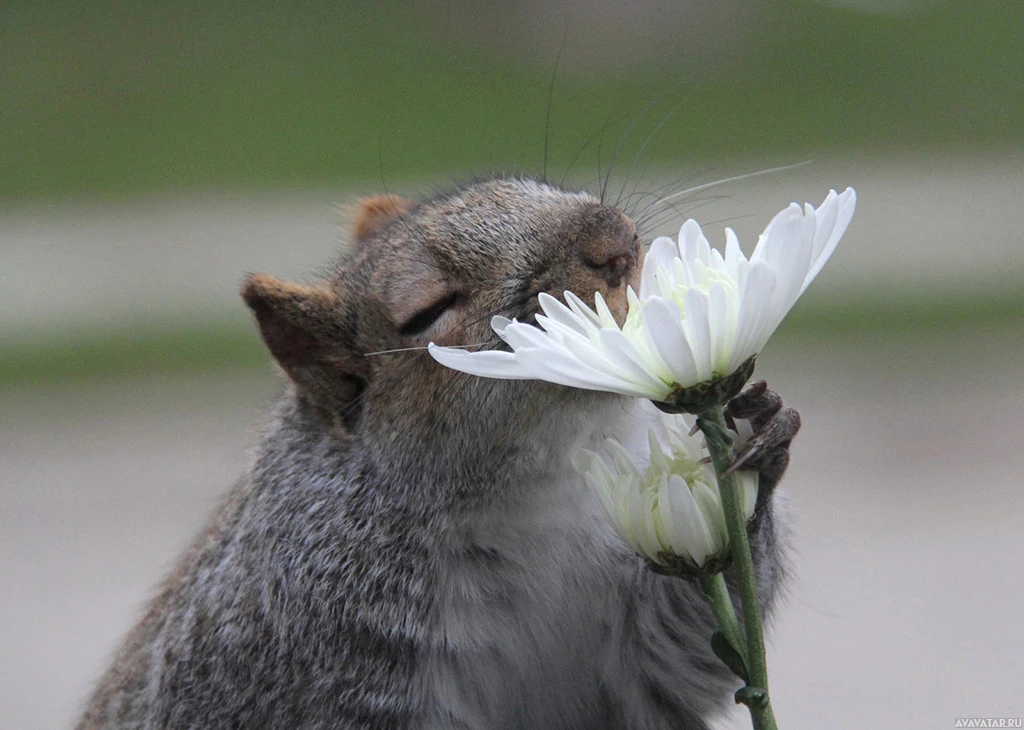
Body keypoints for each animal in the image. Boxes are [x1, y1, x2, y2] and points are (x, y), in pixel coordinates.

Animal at [77, 178, 798, 728]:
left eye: (529, 183)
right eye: (428, 311)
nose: (613, 240)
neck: (532, 494)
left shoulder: (633, 648)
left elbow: (684, 650)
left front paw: (756, 436)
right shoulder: (293, 650)